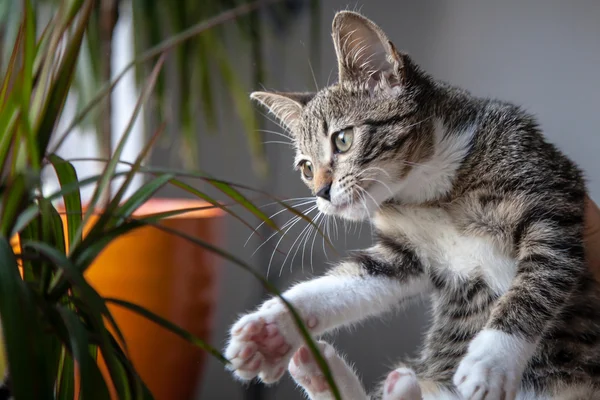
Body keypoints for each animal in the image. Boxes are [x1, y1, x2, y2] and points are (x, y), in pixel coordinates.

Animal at [221, 9, 600, 400]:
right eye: (307, 168)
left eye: (343, 140)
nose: (321, 192)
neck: (431, 190)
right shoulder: (403, 255)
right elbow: (348, 281)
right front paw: (273, 324)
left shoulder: (550, 199)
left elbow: (539, 280)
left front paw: (491, 362)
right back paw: (328, 372)